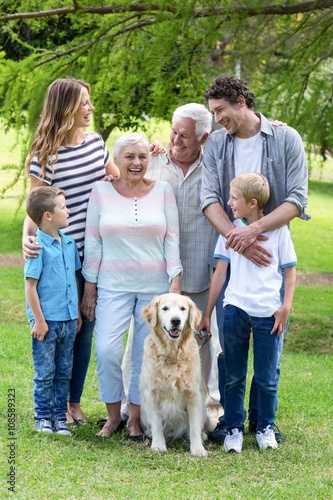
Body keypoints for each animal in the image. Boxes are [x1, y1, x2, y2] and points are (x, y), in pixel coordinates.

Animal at [140, 292, 208, 458]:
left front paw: (198, 449)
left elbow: (194, 426)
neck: (172, 353)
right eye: (165, 308)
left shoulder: (193, 393)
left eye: (183, 308)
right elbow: (157, 423)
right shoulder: (152, 393)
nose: (176, 320)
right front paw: (158, 445)